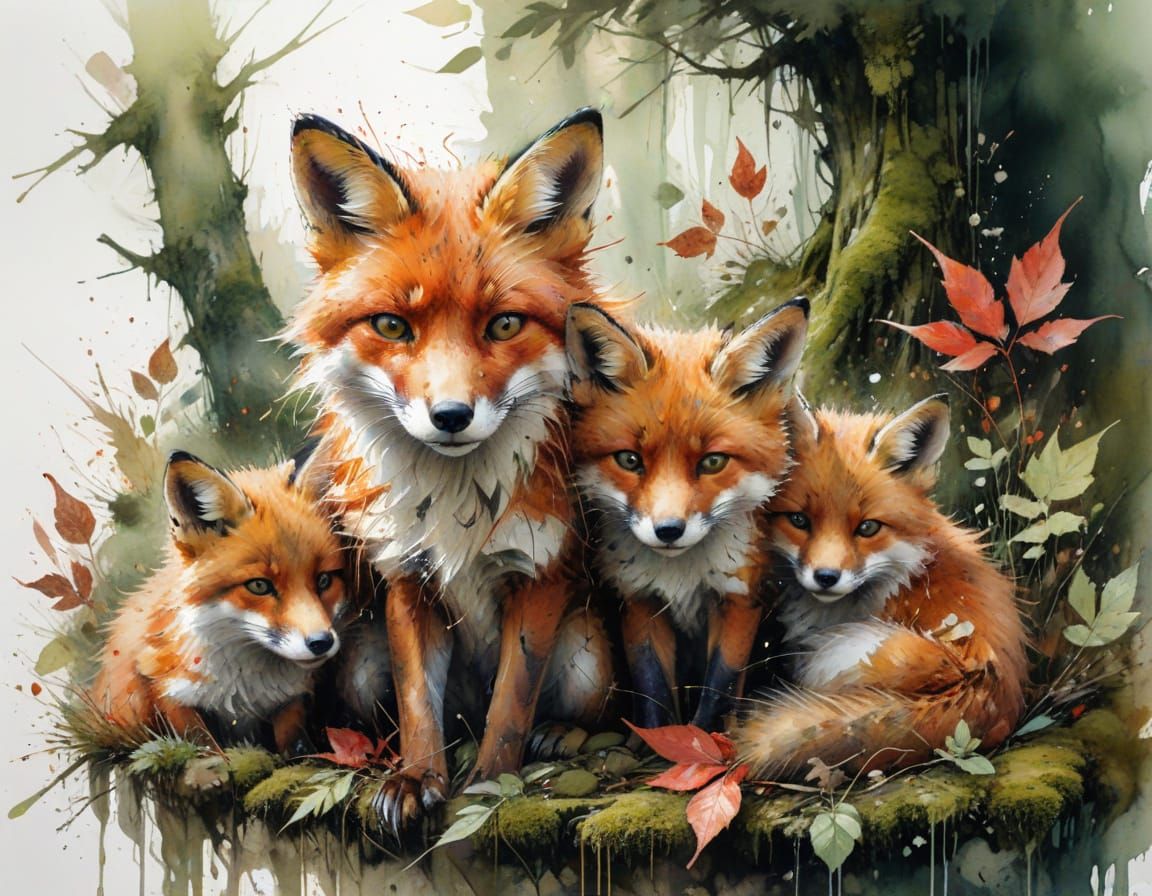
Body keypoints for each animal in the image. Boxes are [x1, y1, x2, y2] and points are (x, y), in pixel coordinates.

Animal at [91, 451, 349, 754]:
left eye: (324, 580)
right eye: (259, 585)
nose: (321, 643)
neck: (244, 687)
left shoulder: (290, 702)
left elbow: (291, 747)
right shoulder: (168, 693)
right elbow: (207, 750)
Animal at [286, 109, 612, 827]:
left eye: (504, 325)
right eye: (392, 326)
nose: (452, 416)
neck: (459, 505)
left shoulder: (540, 574)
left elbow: (512, 700)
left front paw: (492, 785)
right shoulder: (408, 579)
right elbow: (416, 703)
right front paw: (416, 780)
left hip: (586, 654)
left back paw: (562, 736)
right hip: (360, 664)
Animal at [565, 299, 810, 732]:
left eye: (712, 462)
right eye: (629, 460)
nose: (668, 530)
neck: (684, 576)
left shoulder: (740, 598)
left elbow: (721, 686)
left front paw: (705, 739)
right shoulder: (639, 599)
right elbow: (653, 688)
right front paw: (660, 739)